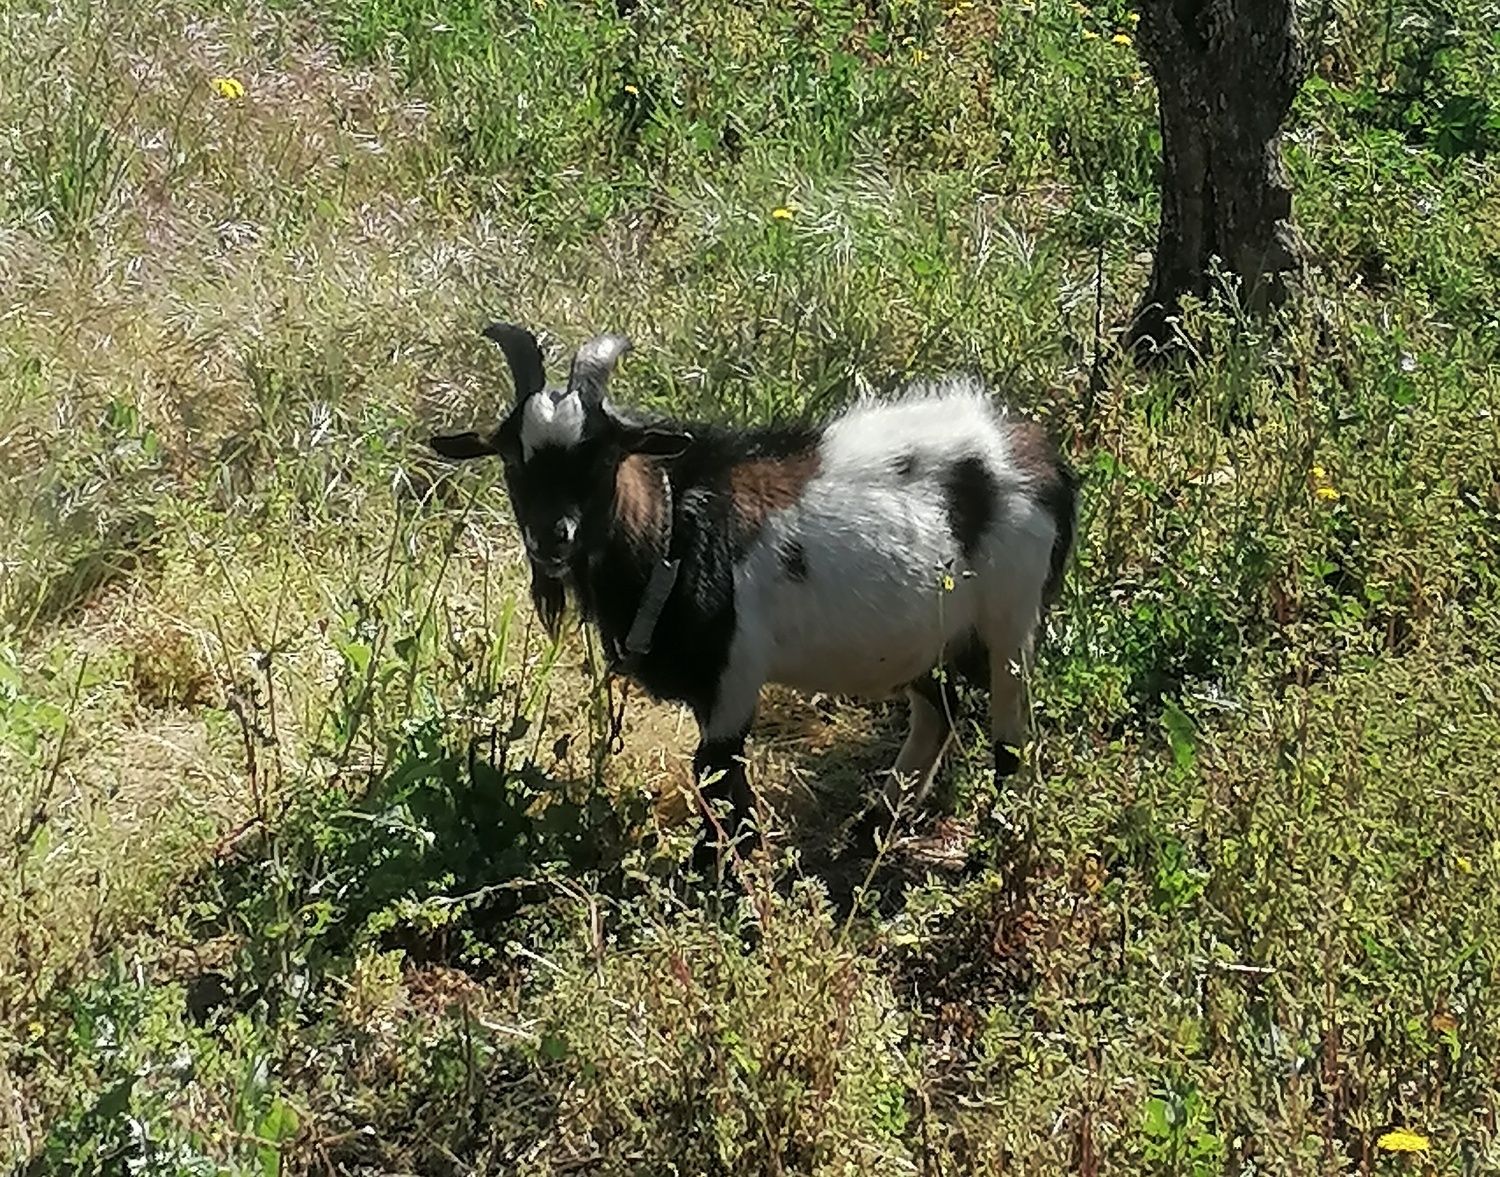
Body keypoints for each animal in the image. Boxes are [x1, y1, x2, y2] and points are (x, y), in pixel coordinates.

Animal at [429, 325, 1074, 869]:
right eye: (512, 458)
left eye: (603, 454)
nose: (551, 538)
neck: (673, 527)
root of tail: (1043, 460)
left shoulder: (733, 677)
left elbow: (719, 783)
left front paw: (715, 892)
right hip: (925, 636)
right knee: (939, 710)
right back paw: (873, 830)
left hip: (1011, 622)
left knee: (1010, 734)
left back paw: (992, 846)